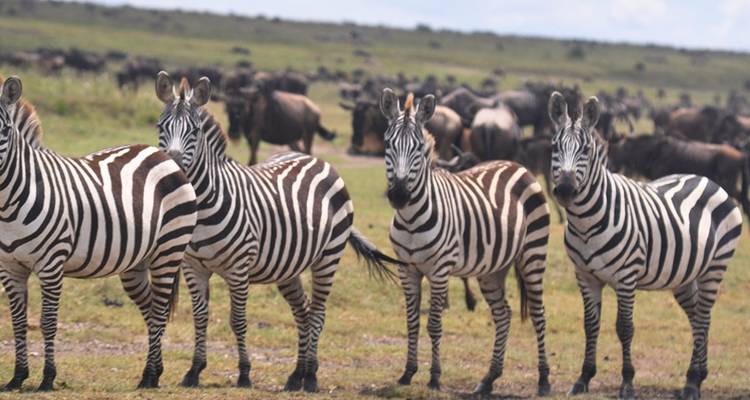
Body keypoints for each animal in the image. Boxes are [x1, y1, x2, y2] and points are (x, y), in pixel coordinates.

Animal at [0, 76, 198, 391]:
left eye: (6, 129)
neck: (11, 201)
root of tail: (160, 154)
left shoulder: (51, 264)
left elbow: (47, 321)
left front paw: (47, 378)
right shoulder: (10, 267)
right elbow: (17, 322)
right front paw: (17, 377)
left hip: (169, 249)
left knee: (159, 310)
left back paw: (150, 375)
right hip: (136, 263)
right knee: (151, 310)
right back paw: (153, 373)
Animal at [153, 72, 401, 392]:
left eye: (194, 131)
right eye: (161, 126)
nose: (173, 169)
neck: (206, 207)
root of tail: (316, 159)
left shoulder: (239, 268)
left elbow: (238, 320)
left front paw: (244, 373)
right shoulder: (193, 266)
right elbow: (200, 317)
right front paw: (194, 371)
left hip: (328, 257)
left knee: (318, 314)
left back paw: (311, 377)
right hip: (288, 267)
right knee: (303, 312)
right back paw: (297, 374)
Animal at [379, 88, 551, 396]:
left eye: (419, 148)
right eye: (388, 144)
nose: (399, 195)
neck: (411, 220)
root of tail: (516, 165)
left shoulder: (439, 271)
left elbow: (434, 325)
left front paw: (434, 377)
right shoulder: (407, 269)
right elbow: (412, 322)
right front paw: (407, 373)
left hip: (533, 255)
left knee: (538, 314)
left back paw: (543, 380)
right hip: (493, 269)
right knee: (504, 315)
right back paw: (488, 379)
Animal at [547, 92, 743, 400]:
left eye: (586, 150)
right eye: (555, 147)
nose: (566, 190)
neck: (586, 223)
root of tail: (706, 179)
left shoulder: (626, 278)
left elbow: (625, 328)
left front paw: (627, 382)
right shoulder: (585, 277)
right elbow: (590, 325)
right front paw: (583, 378)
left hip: (716, 267)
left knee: (704, 316)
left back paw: (692, 381)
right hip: (685, 276)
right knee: (698, 317)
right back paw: (698, 376)